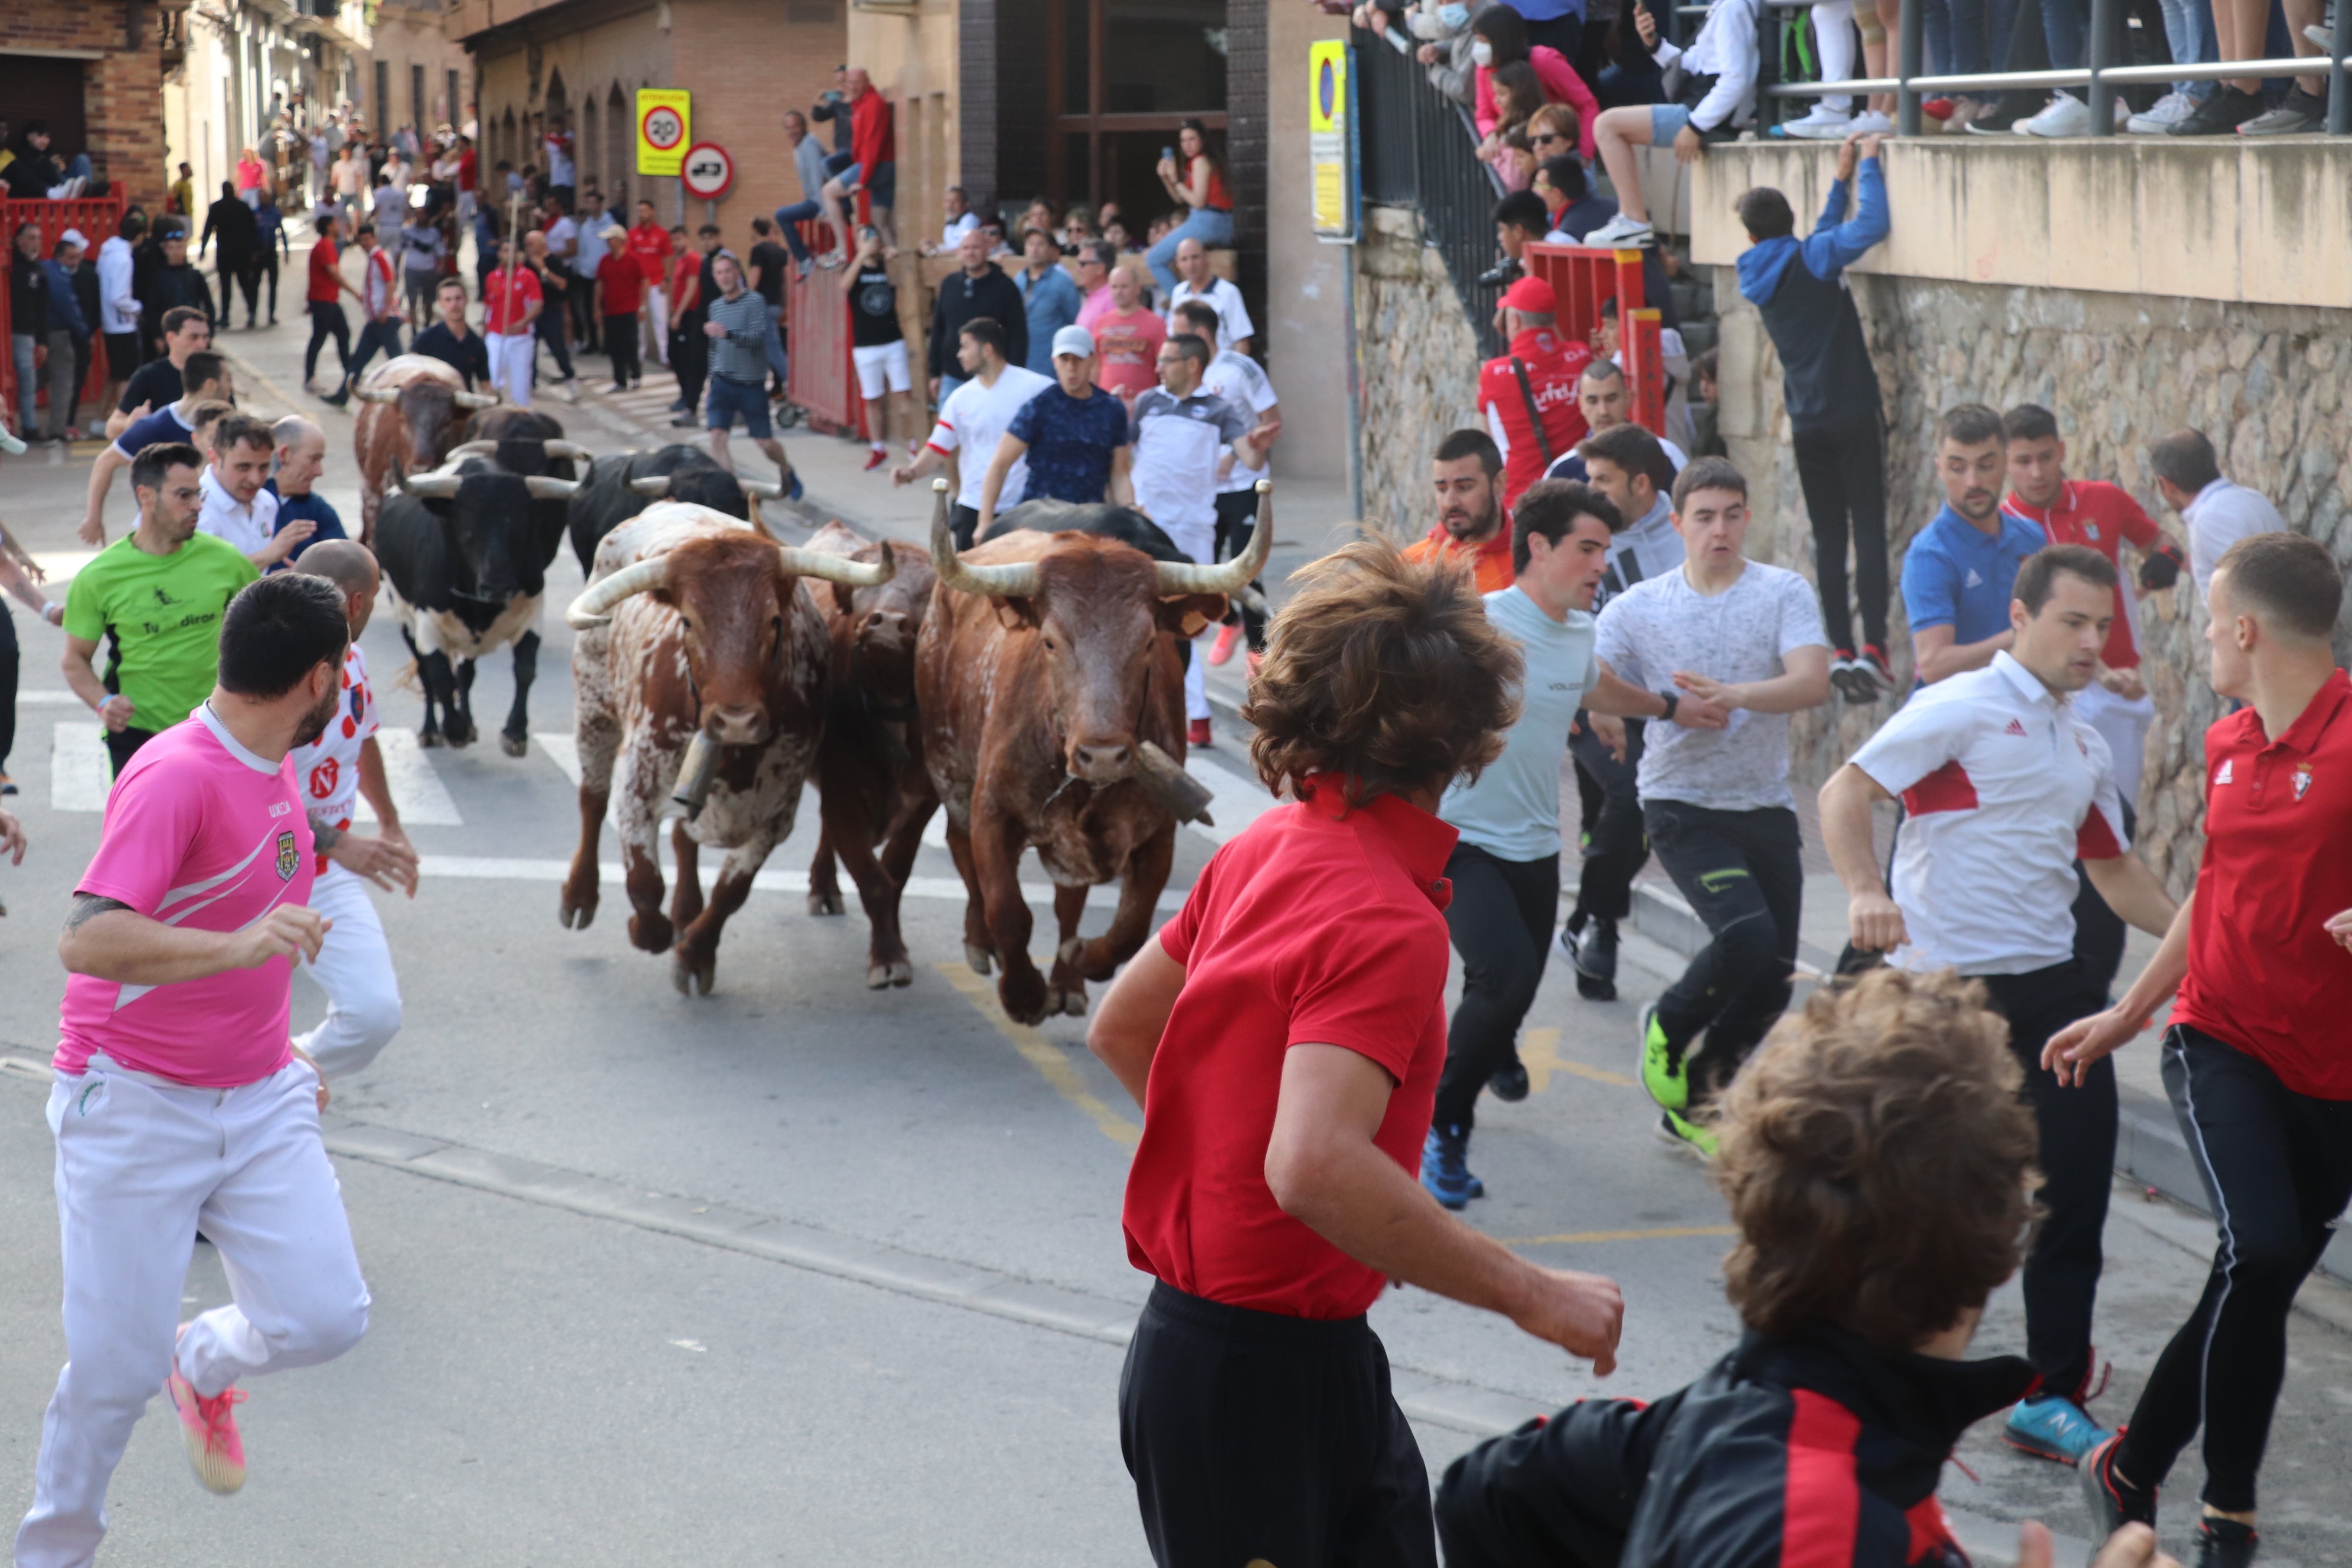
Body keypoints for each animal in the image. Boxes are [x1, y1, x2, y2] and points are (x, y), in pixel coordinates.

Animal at [378, 460, 581, 752]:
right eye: (467, 528)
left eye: (521, 525)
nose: (497, 586)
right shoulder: (427, 624)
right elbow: (440, 678)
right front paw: (454, 730)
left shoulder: (532, 615)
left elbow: (525, 670)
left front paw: (515, 733)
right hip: (405, 619)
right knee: (426, 674)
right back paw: (431, 731)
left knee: (466, 673)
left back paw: (469, 723)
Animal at [555, 505, 893, 992]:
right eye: (687, 621)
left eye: (774, 621)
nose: (735, 720)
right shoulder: (638, 788)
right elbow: (643, 881)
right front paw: (648, 932)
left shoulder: (777, 815)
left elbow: (732, 890)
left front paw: (696, 955)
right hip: (594, 706)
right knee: (592, 798)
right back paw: (580, 895)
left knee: (682, 836)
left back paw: (685, 913)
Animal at [804, 526, 940, 992]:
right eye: (867, 586)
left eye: (927, 590)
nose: (886, 625)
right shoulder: (844, 796)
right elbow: (875, 882)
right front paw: (888, 960)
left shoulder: (924, 804)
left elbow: (895, 876)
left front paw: (896, 947)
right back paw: (824, 888)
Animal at [907, 479, 1270, 1030]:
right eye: (1050, 642)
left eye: (1149, 641)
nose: (1102, 755)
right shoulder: (992, 813)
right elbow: (1008, 911)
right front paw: (1023, 995)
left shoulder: (1157, 833)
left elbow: (1130, 929)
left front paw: (1081, 961)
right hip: (949, 770)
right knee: (961, 851)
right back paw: (978, 944)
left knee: (1069, 898)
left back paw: (1067, 982)